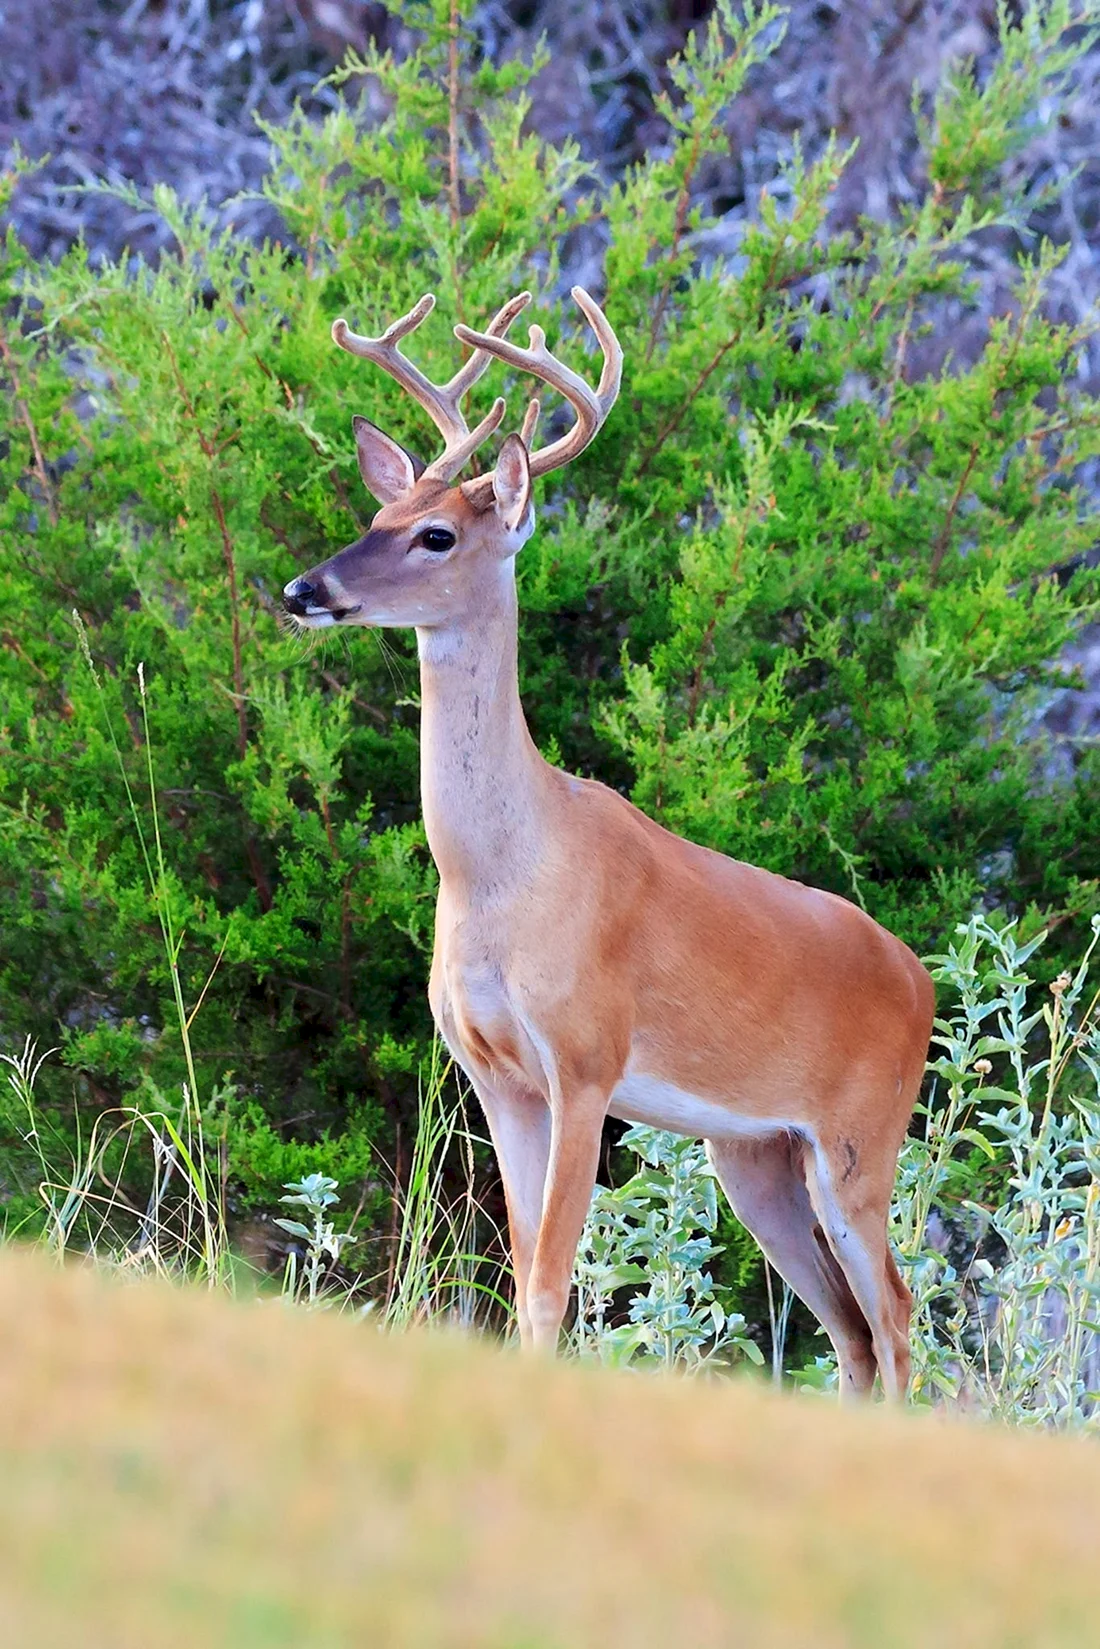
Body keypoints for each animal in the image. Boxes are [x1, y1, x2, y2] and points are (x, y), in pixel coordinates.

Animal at [282, 287, 935, 1400]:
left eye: (436, 536)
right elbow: (520, 1271)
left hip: (860, 1136)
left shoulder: (585, 1059)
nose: (303, 590)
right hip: (752, 1151)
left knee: (894, 1313)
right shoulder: (491, 1071)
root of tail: (921, 977)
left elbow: (551, 1278)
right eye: (376, 519)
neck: (500, 875)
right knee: (850, 1330)